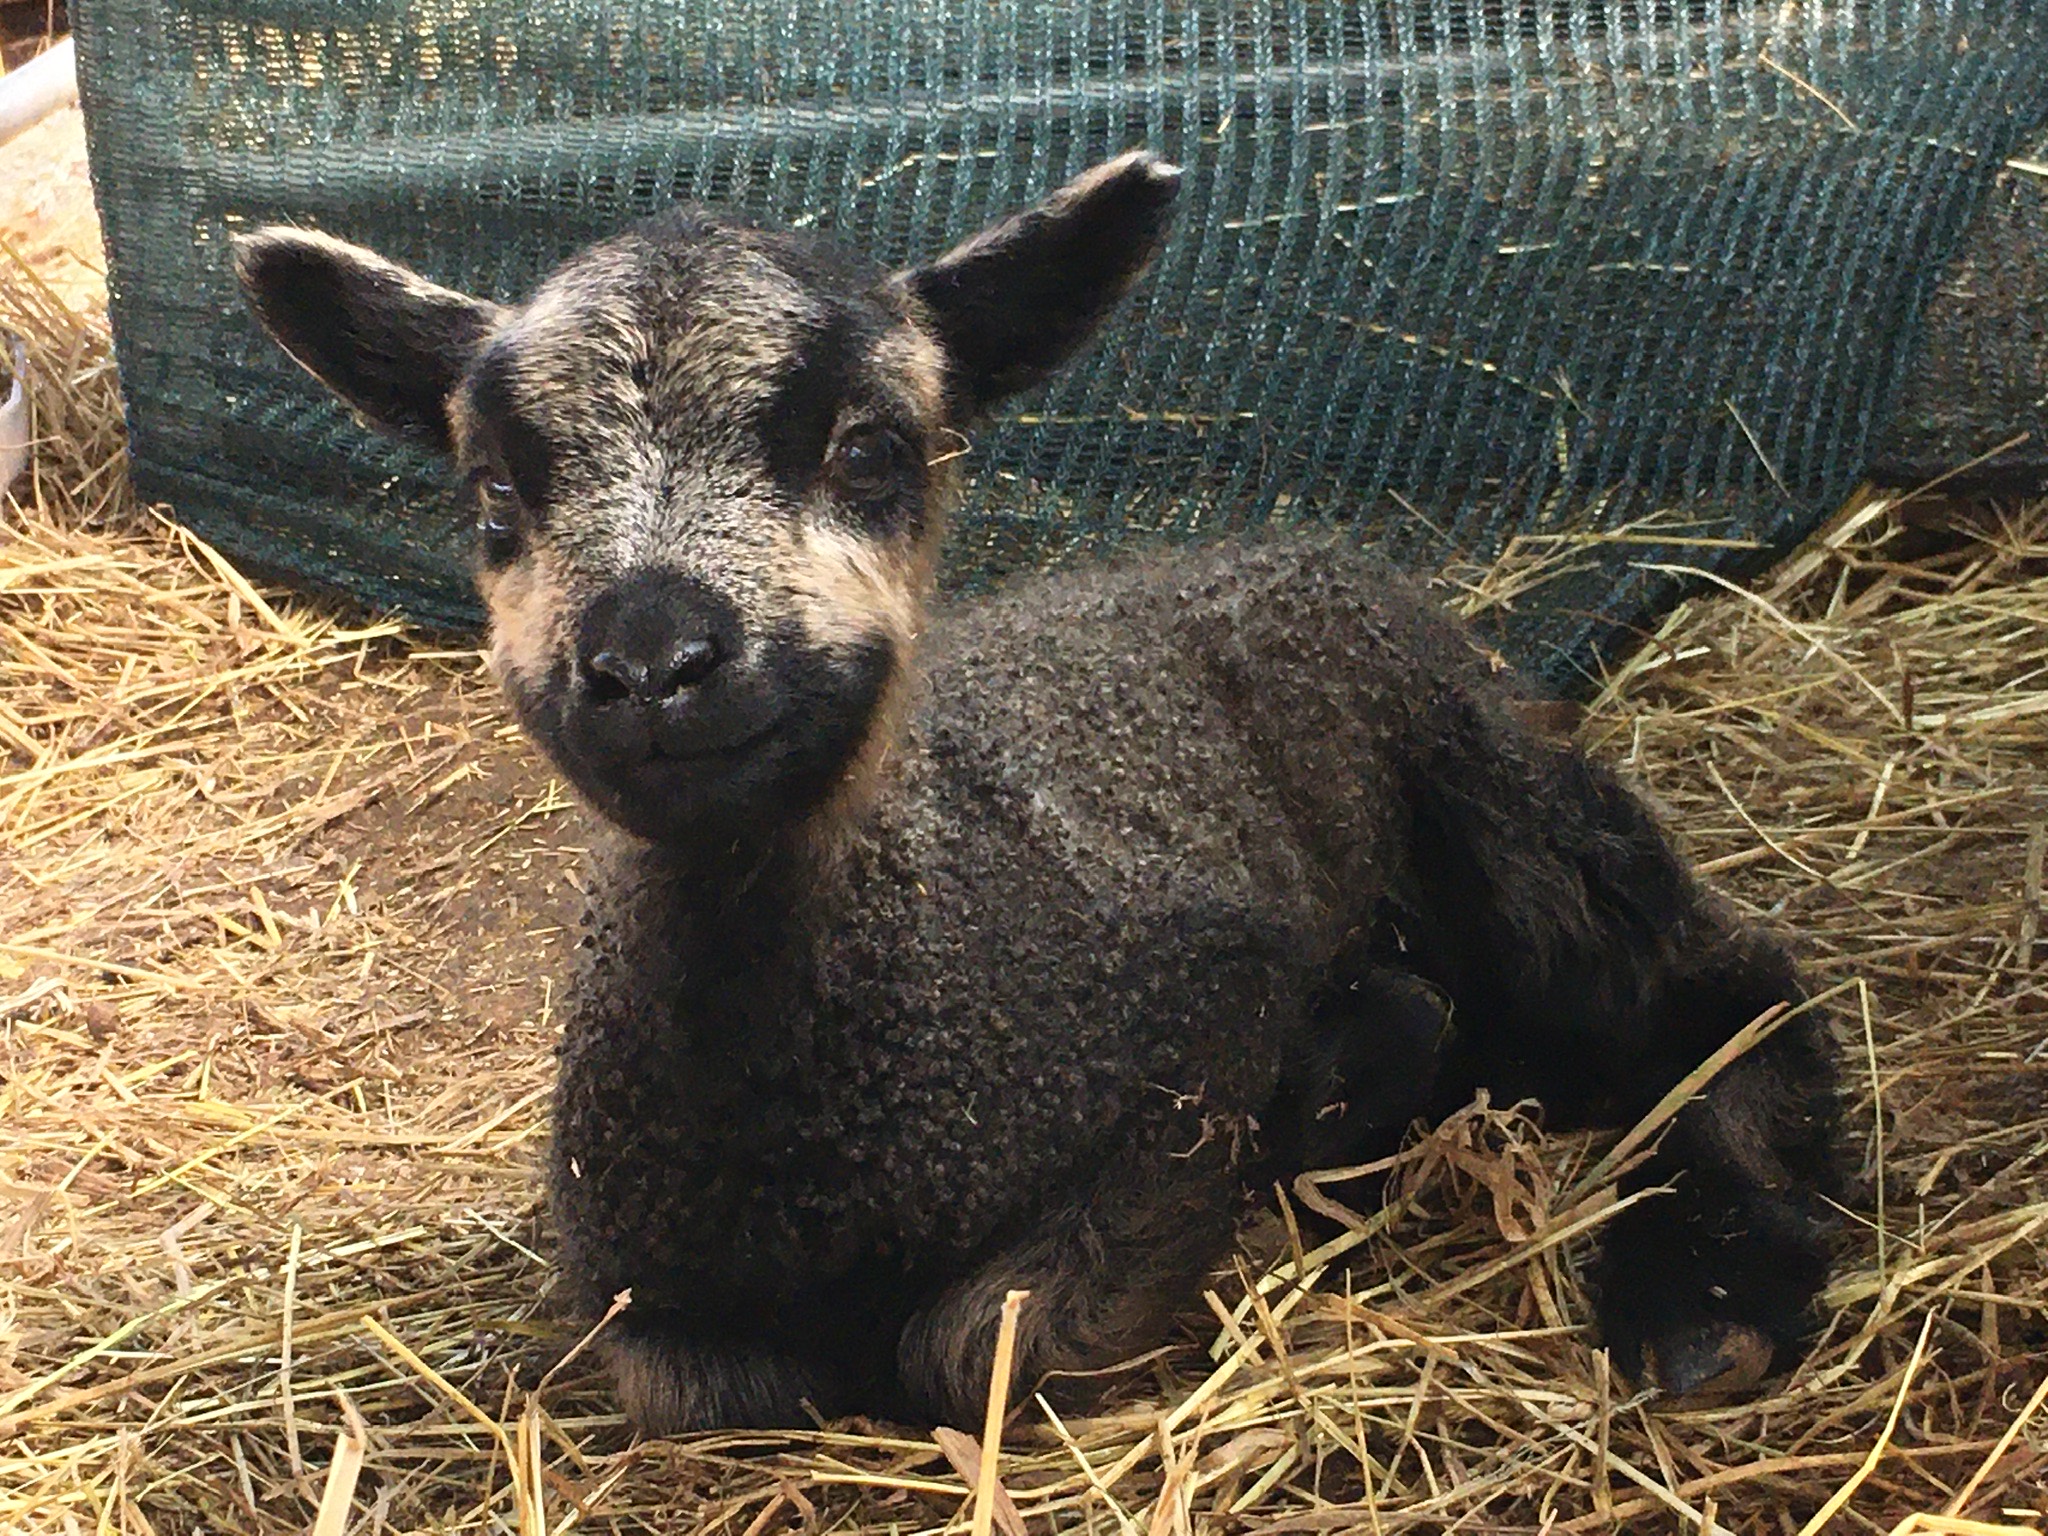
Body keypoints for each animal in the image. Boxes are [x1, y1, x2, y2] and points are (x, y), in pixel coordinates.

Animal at [232, 150, 1851, 1441]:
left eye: (872, 448)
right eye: (497, 494)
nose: (650, 662)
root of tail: (1298, 550)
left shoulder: (1196, 1022)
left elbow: (978, 1352)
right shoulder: (631, 1278)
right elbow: (716, 1381)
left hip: (1492, 797)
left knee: (1723, 989)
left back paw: (1704, 1297)